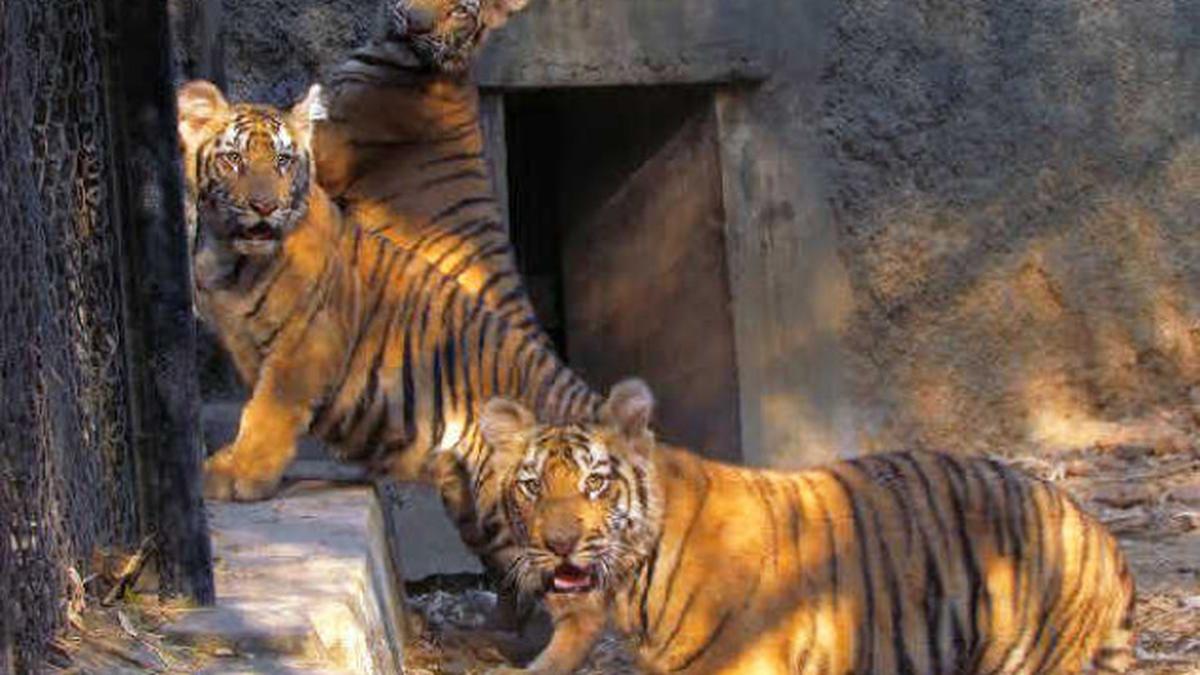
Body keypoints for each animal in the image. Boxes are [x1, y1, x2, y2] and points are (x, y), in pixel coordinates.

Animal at [176, 80, 598, 517]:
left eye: (282, 161)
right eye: (233, 159)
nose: (264, 206)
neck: (230, 260)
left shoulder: (308, 338)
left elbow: (267, 412)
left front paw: (239, 474)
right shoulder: (243, 342)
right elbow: (255, 406)